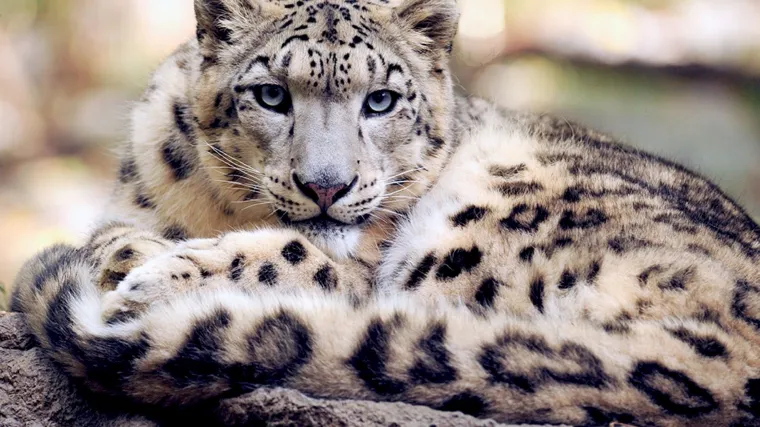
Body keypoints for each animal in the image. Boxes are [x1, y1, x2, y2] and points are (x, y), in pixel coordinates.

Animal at [9, 0, 760, 425]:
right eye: (271, 94)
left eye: (381, 100)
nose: (326, 185)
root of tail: (734, 362)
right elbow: (114, 234)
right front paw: (132, 255)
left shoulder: (360, 264)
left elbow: (294, 255)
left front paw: (154, 276)